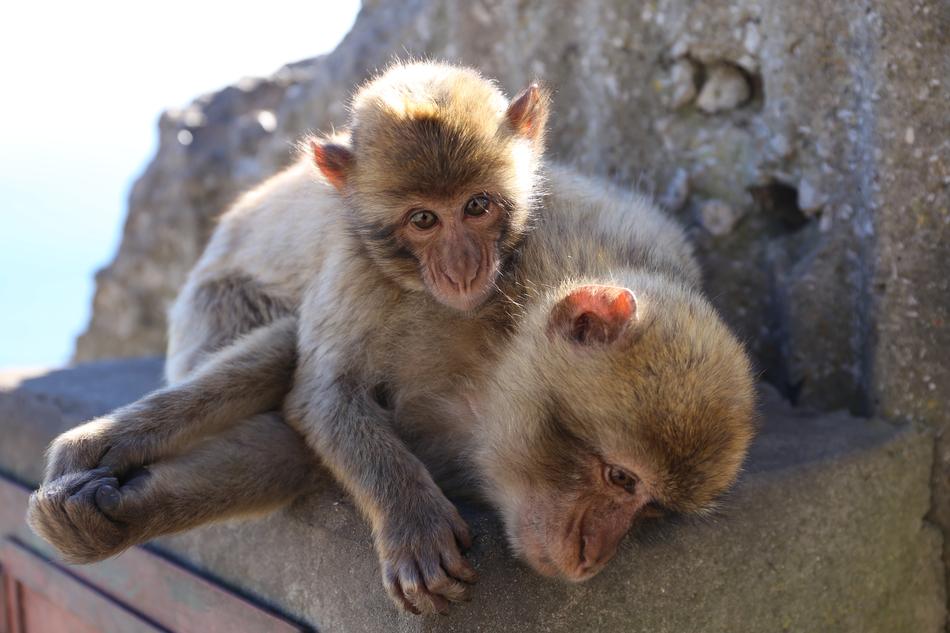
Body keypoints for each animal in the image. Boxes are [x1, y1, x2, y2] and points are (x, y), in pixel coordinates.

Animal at [28, 64, 756, 616]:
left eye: (649, 507)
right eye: (618, 476)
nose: (591, 557)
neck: (497, 357)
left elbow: (290, 436)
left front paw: (124, 508)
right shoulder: (390, 281)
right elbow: (314, 379)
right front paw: (98, 446)